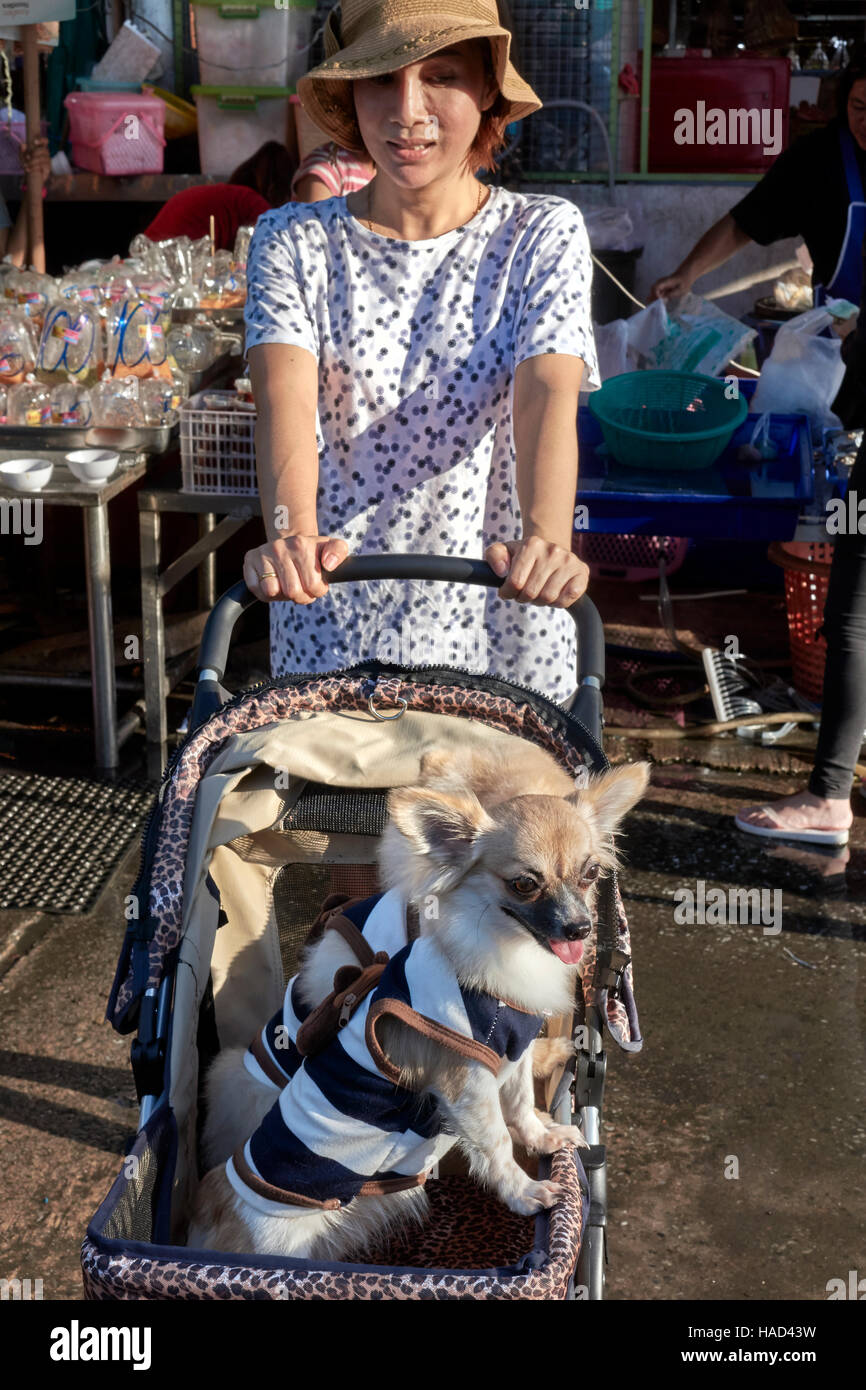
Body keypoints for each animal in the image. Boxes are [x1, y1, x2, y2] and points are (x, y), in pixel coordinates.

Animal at [189, 750, 650, 1262]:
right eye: (524, 884)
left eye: (591, 874)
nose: (580, 927)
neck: (508, 951)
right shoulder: (466, 1087)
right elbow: (496, 1142)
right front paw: (525, 1193)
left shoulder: (512, 1053)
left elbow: (522, 1103)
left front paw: (543, 1137)